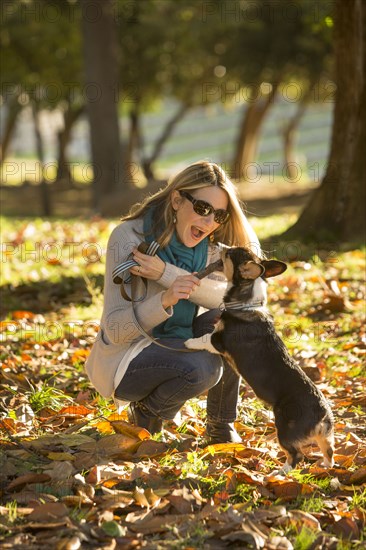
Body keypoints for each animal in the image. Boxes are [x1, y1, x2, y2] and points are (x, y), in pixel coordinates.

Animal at [186, 249, 334, 474]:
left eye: (229, 254)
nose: (221, 245)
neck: (246, 304)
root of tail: (323, 415)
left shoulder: (218, 340)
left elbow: (204, 339)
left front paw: (188, 342)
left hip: (285, 428)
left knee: (295, 455)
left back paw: (279, 473)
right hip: (324, 437)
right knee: (329, 450)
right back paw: (325, 466)